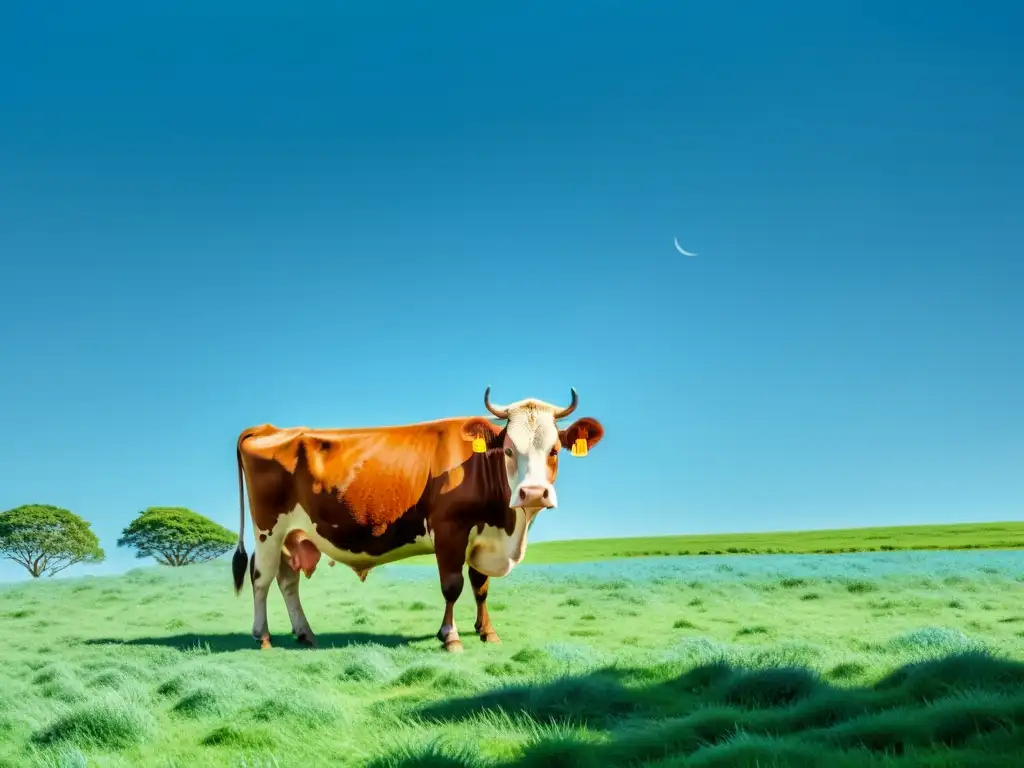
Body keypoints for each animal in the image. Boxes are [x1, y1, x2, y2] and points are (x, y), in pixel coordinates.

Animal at [231, 387, 598, 651]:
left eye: (554, 451)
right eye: (509, 450)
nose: (533, 493)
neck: (507, 529)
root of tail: (270, 429)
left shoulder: (482, 537)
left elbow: (480, 587)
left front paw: (487, 632)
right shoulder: (450, 530)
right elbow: (453, 586)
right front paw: (450, 637)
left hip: (293, 535)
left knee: (287, 581)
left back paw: (305, 633)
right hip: (268, 530)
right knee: (261, 578)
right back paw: (263, 637)